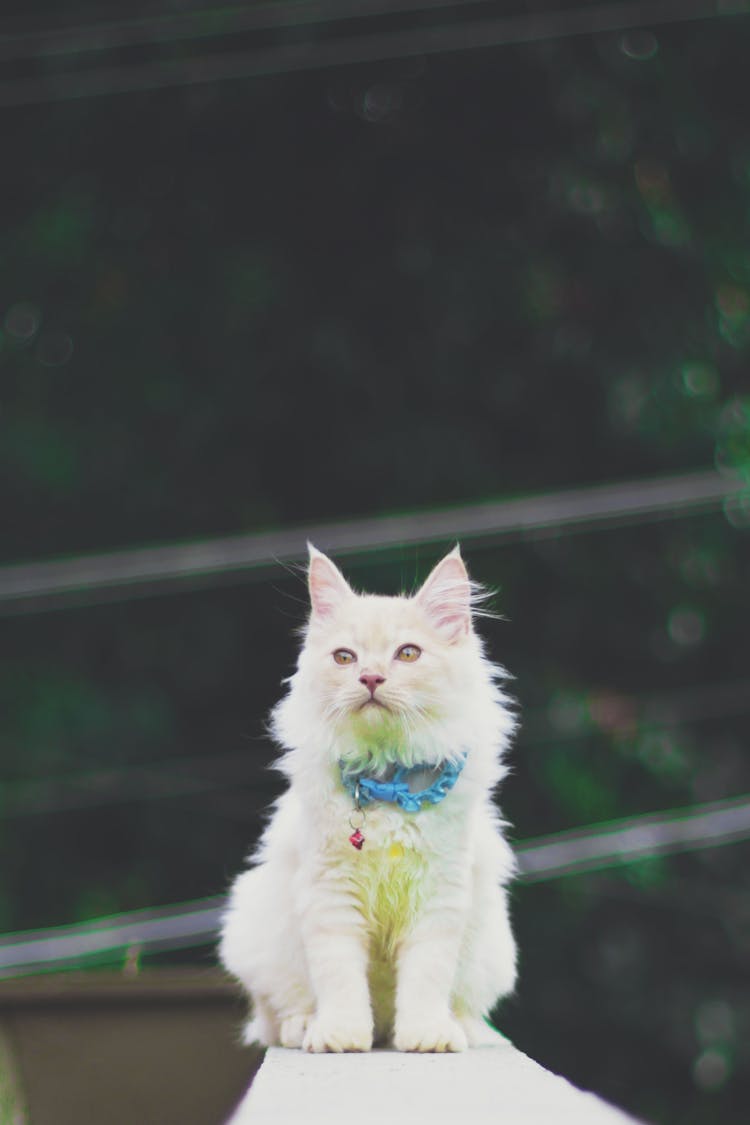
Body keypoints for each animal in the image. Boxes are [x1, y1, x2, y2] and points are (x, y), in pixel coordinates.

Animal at [220, 546, 519, 1053]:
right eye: (345, 657)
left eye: (408, 654)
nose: (371, 677)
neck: (387, 779)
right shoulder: (331, 896)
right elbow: (340, 979)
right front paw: (339, 1036)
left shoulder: (439, 896)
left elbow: (427, 978)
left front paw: (426, 1036)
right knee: (278, 1015)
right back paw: (307, 1027)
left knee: (465, 1006)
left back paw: (460, 1030)